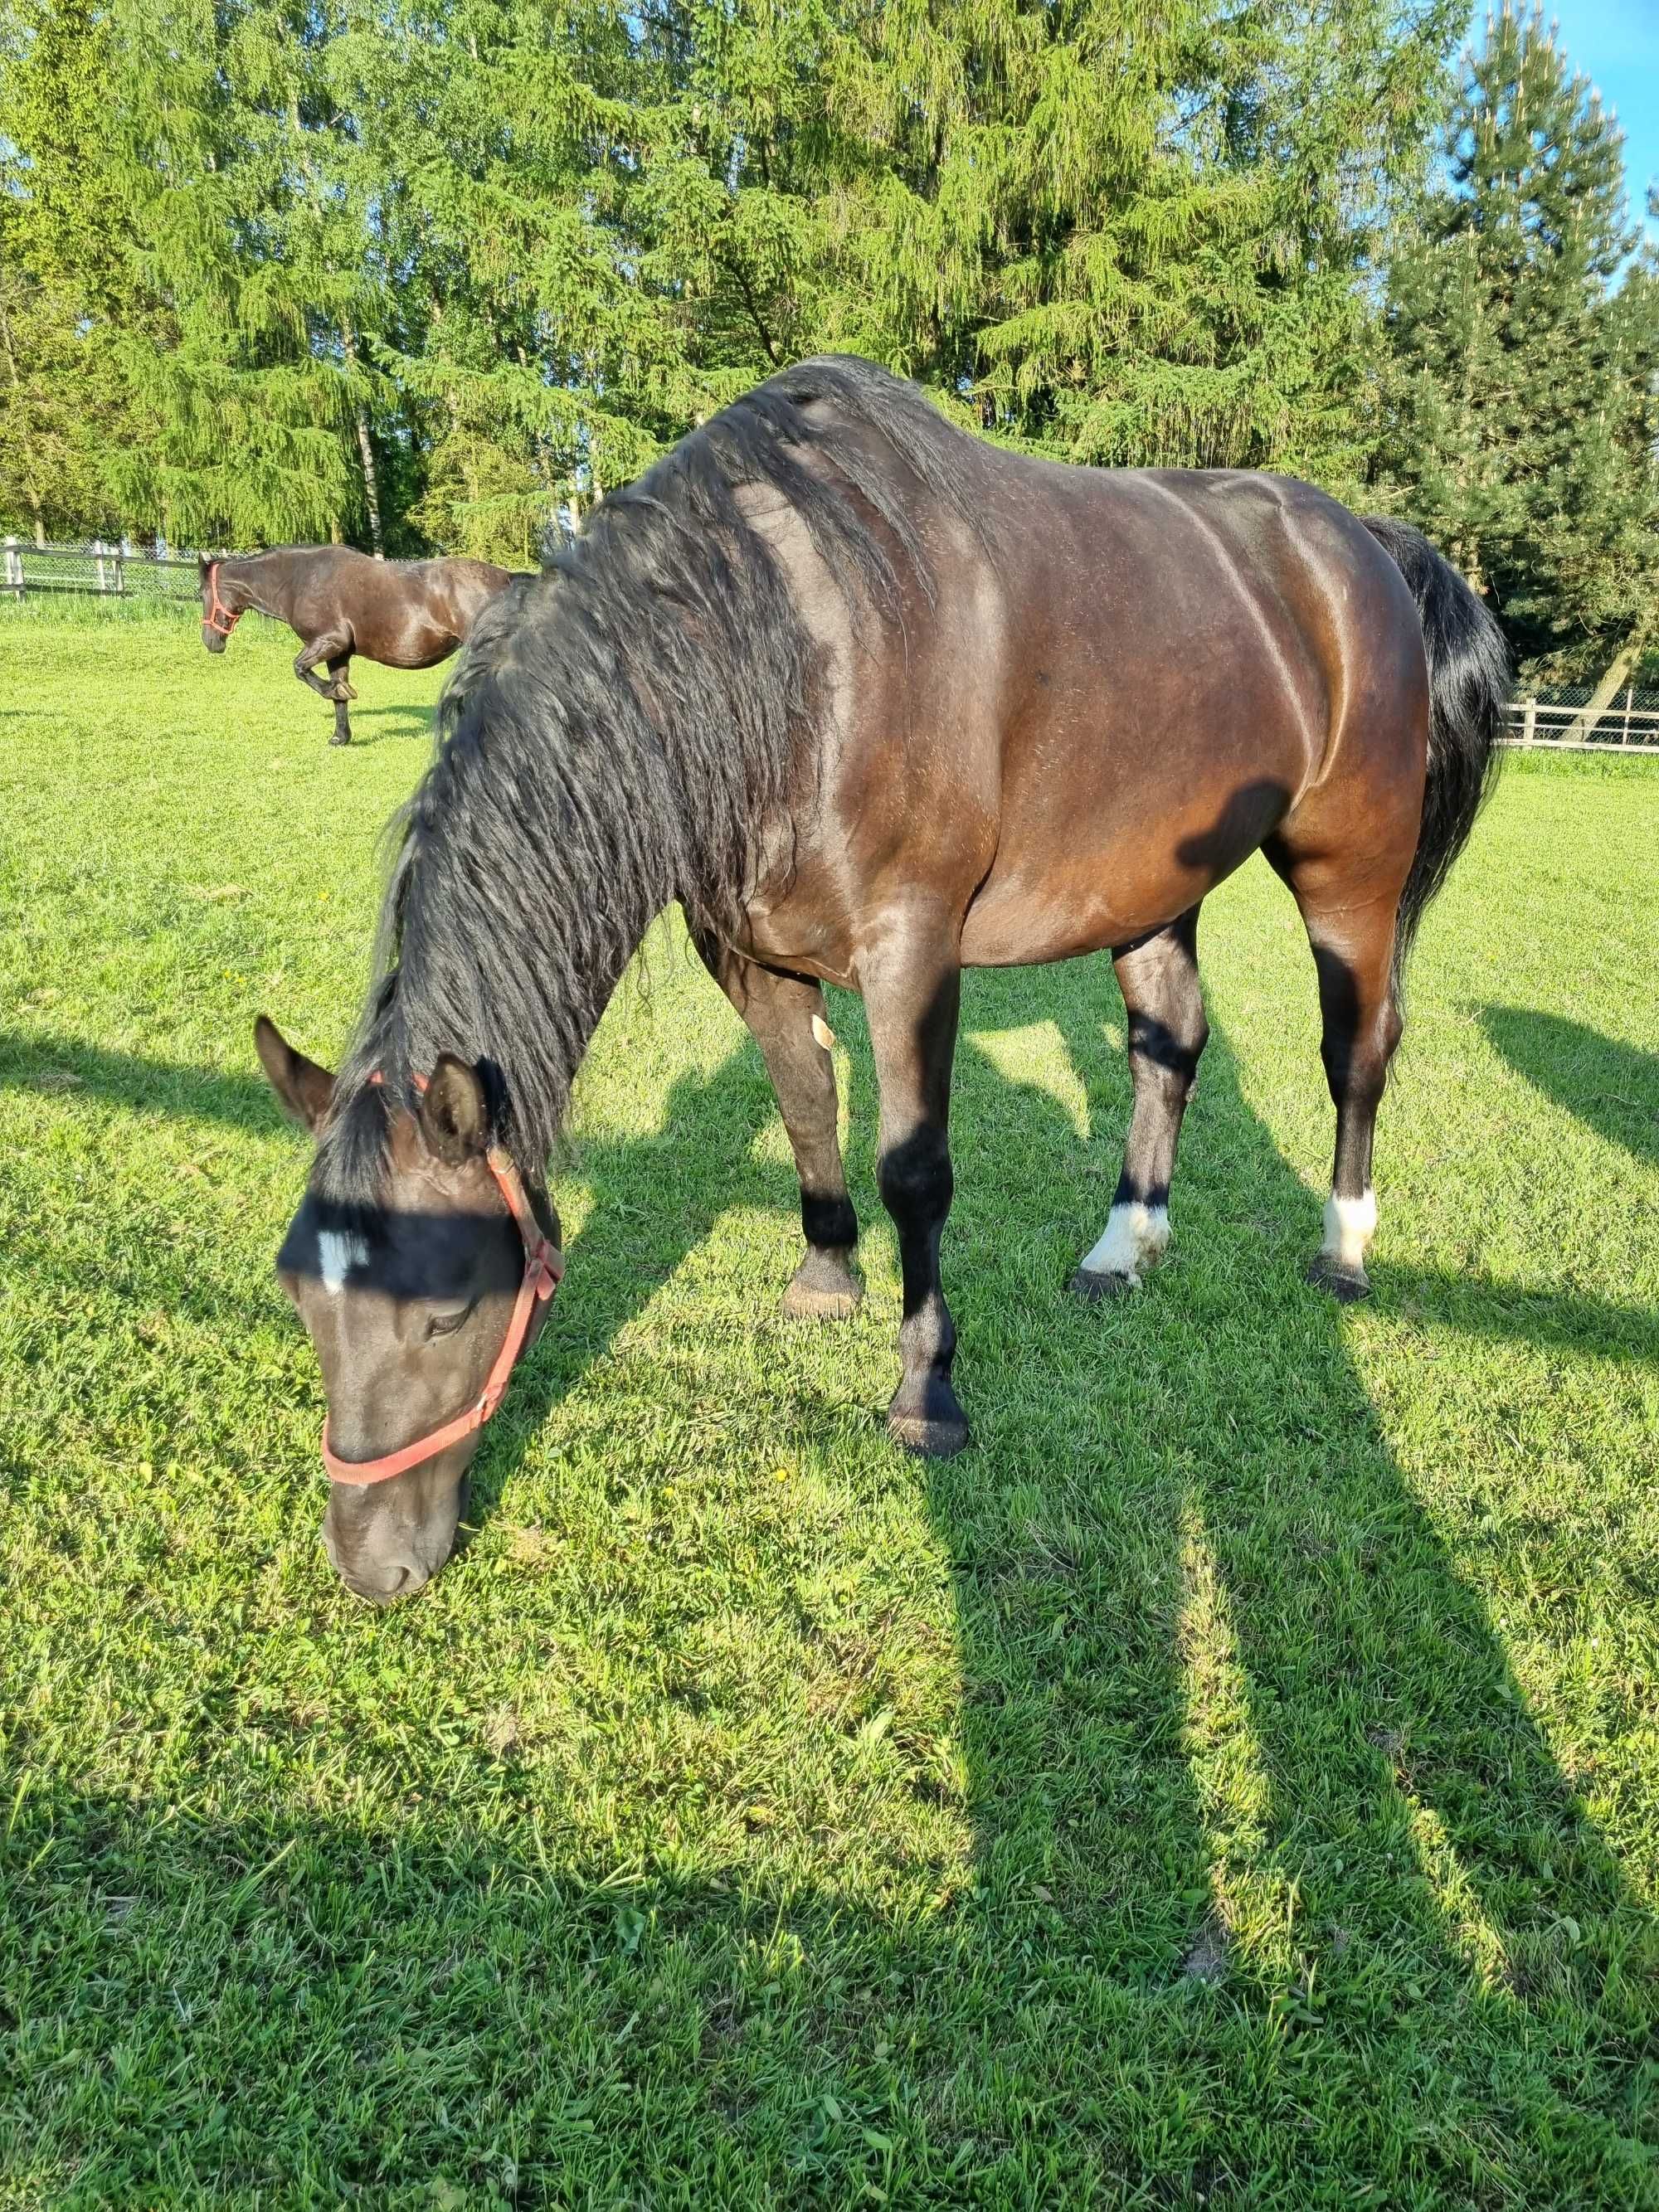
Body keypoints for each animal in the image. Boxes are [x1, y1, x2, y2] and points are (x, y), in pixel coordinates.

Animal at [200, 544, 513, 743]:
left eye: (201, 592)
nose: (210, 642)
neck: (300, 580)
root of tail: (509, 578)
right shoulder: (338, 653)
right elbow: (337, 694)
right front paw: (340, 736)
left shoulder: (329, 641)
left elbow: (301, 669)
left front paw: (340, 693)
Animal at [256, 362, 1504, 1610]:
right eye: (302, 1296)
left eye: (446, 1312)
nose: (371, 1562)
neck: (783, 657)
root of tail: (1366, 542)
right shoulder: (745, 951)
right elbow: (807, 1106)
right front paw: (824, 1274)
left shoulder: (913, 950)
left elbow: (915, 1172)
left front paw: (925, 1393)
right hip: (1152, 883)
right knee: (1169, 1044)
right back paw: (1122, 1249)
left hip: (1350, 869)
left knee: (1357, 1048)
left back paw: (1343, 1248)